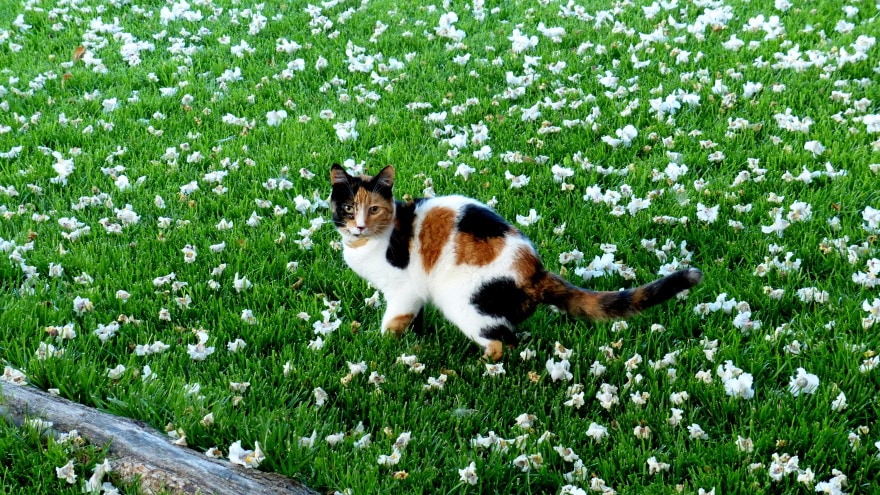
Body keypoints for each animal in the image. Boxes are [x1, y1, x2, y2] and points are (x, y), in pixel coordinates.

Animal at [328, 165, 700, 362]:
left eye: (374, 209)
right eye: (348, 208)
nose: (358, 226)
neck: (369, 242)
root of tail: (535, 271)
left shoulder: (403, 291)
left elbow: (392, 322)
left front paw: (381, 346)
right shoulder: (415, 296)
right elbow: (415, 321)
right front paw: (414, 341)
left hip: (465, 304)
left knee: (502, 342)